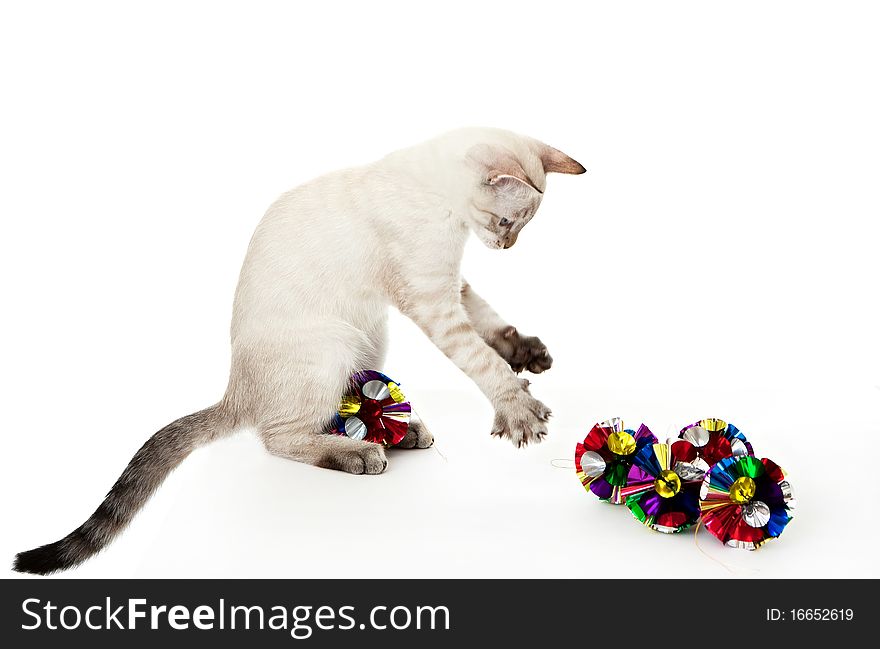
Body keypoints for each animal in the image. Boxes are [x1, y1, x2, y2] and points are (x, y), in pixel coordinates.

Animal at [12, 126, 584, 572]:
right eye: (506, 223)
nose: (506, 247)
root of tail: (235, 390)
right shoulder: (431, 296)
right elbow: (480, 359)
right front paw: (519, 410)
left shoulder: (451, 285)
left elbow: (490, 322)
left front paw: (527, 353)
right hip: (335, 343)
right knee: (278, 436)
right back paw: (359, 452)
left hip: (370, 337)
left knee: (332, 411)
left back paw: (399, 432)